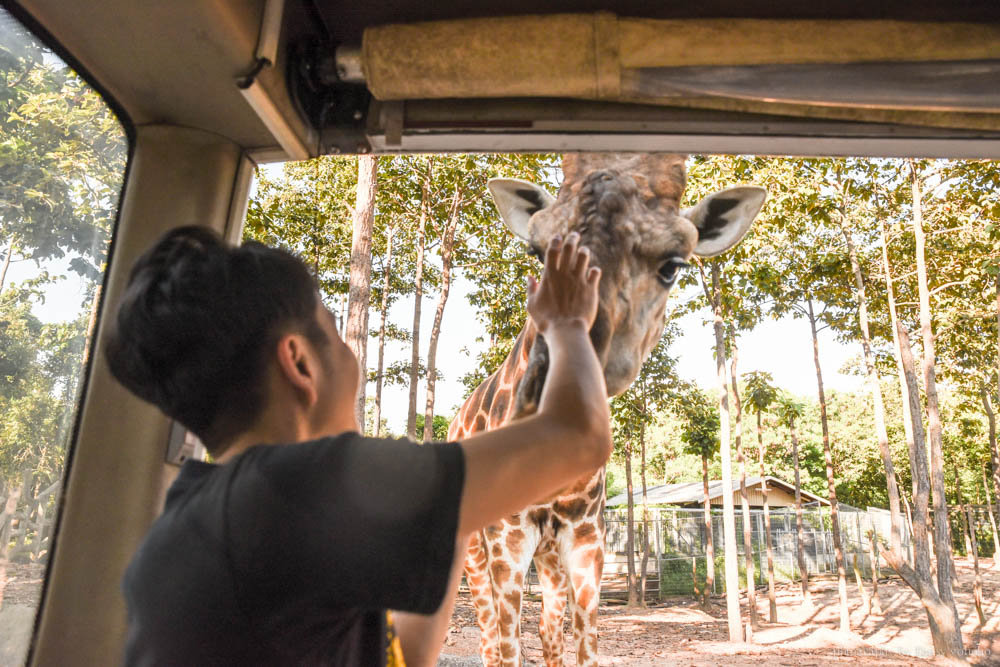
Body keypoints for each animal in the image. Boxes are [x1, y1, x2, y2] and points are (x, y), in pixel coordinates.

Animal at [448, 153, 764, 667]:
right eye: (538, 252)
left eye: (673, 266)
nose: (541, 392)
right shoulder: (505, 538)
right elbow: (506, 645)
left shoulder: (586, 537)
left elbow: (584, 646)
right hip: (477, 548)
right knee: (489, 635)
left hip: (549, 554)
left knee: (545, 628)